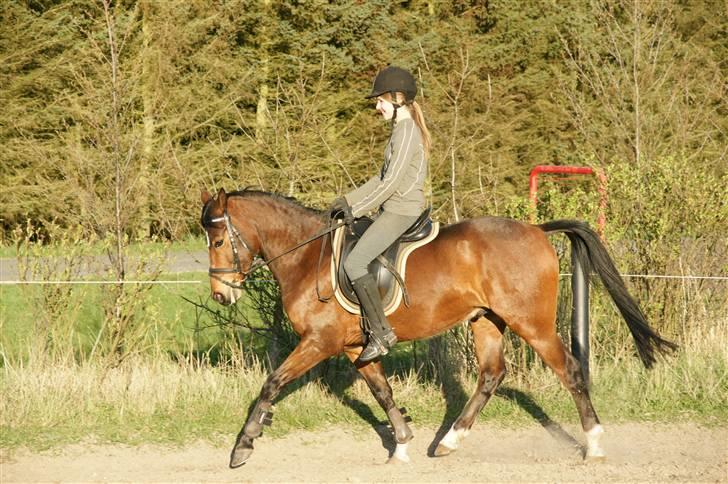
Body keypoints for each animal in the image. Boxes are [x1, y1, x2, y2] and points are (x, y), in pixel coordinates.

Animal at [200, 187, 676, 468]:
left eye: (219, 240)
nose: (221, 295)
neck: (307, 258)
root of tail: (537, 230)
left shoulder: (319, 342)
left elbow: (272, 382)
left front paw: (243, 445)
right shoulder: (356, 347)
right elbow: (382, 392)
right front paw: (402, 443)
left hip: (532, 324)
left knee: (570, 371)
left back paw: (593, 444)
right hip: (486, 321)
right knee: (491, 375)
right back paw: (448, 441)